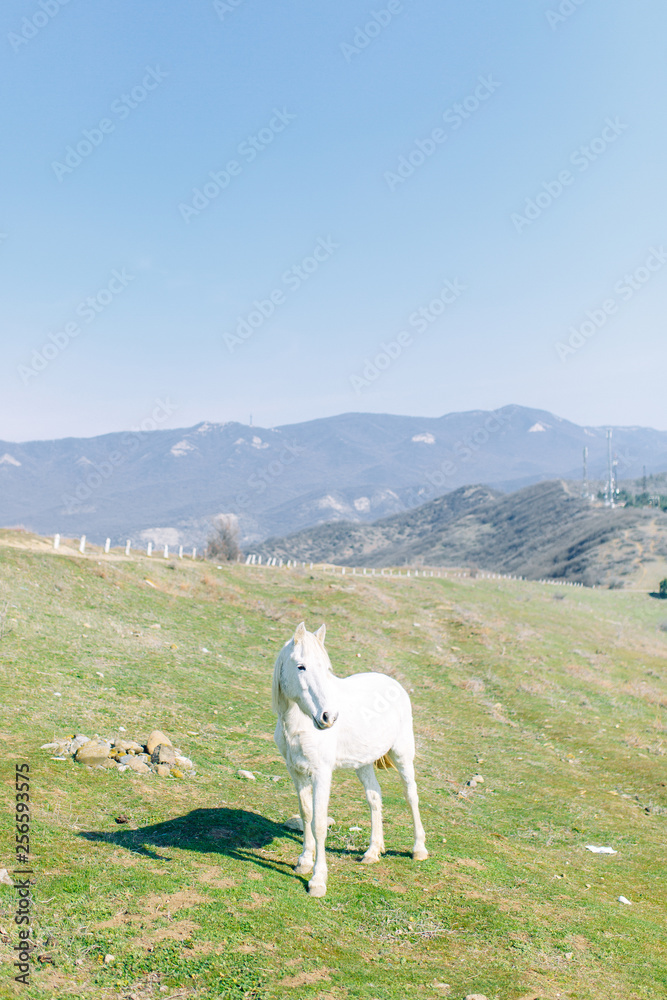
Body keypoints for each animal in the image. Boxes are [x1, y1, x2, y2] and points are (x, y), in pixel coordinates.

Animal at [272, 621, 428, 897]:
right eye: (301, 666)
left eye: (326, 668)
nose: (329, 717)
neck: (299, 724)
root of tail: (393, 683)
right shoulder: (296, 772)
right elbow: (306, 814)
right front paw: (304, 862)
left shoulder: (322, 773)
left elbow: (319, 823)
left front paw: (318, 880)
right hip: (363, 763)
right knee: (374, 797)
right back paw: (373, 852)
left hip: (402, 755)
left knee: (411, 795)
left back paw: (418, 849)